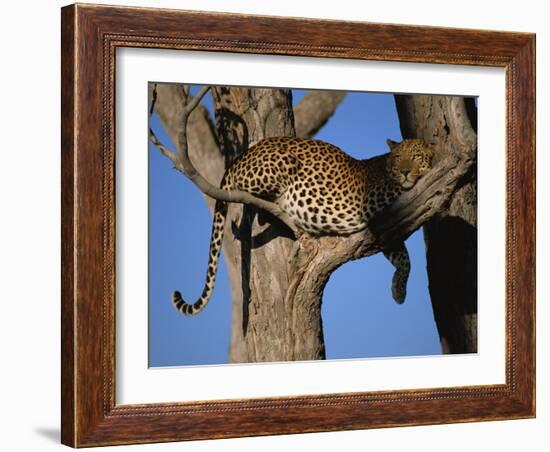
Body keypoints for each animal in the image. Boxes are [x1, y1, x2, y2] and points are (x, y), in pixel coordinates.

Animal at [172, 136, 436, 316]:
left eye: (416, 157)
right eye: (399, 158)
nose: (405, 172)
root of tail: (242, 155)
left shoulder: (385, 229)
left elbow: (404, 259)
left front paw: (399, 291)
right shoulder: (373, 198)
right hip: (280, 163)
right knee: (239, 186)